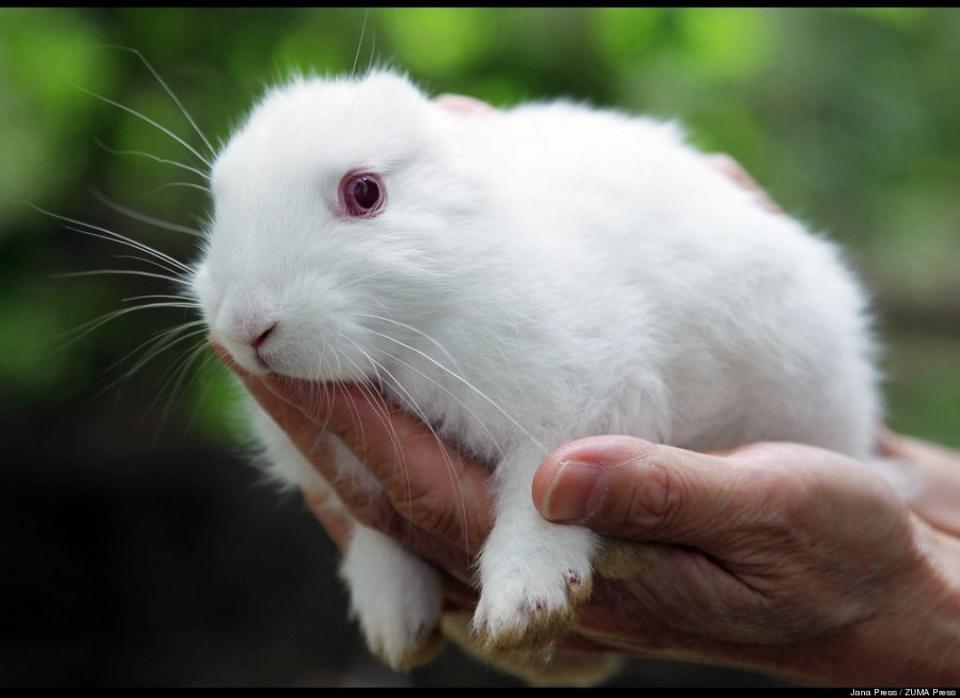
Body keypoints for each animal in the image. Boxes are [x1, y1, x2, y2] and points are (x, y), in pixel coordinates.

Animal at [193, 69, 884, 680]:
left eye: (364, 192)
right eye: (220, 205)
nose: (249, 327)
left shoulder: (582, 409)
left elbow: (537, 502)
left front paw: (522, 606)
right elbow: (378, 532)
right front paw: (394, 626)